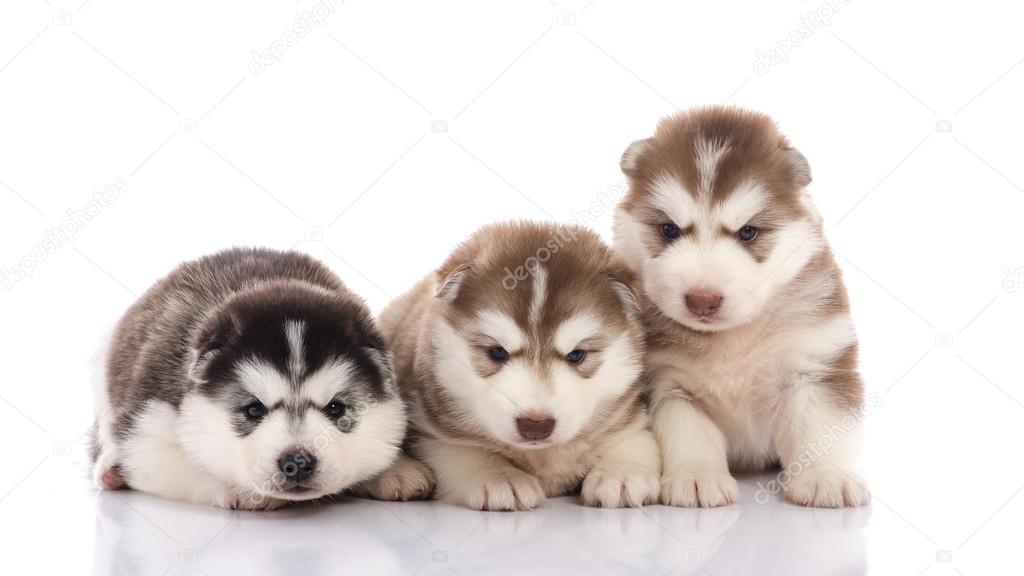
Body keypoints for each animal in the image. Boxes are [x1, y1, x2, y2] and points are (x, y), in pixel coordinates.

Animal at [91, 247, 403, 506]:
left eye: (336, 408)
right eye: (253, 409)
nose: (298, 461)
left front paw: (394, 472)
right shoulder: (145, 433)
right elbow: (188, 465)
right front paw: (243, 490)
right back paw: (110, 469)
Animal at [364, 222, 659, 508]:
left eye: (576, 355)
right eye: (497, 352)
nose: (536, 425)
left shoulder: (626, 414)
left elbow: (634, 440)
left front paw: (621, 472)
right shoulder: (431, 427)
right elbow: (464, 451)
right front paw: (499, 476)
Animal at [610, 107, 868, 506]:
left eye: (748, 232)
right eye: (669, 230)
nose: (702, 299)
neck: (732, 339)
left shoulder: (816, 365)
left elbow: (818, 428)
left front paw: (827, 476)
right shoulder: (670, 385)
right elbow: (690, 433)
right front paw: (698, 477)